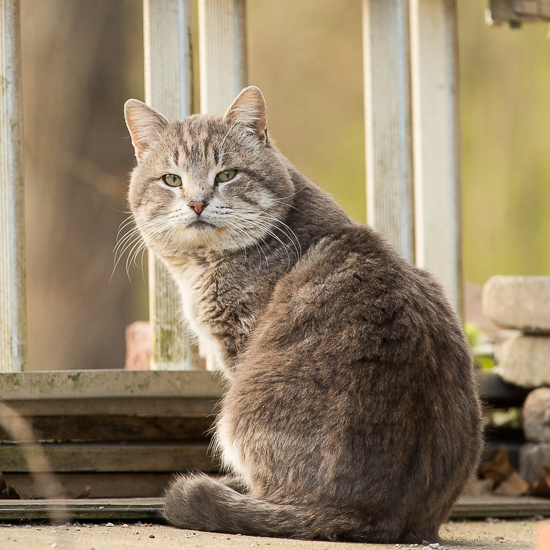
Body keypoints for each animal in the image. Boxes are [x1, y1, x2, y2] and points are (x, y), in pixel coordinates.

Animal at [124, 86, 484, 544]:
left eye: (226, 175)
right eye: (172, 179)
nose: (197, 202)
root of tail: (370, 512)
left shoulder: (237, 346)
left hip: (236, 415)